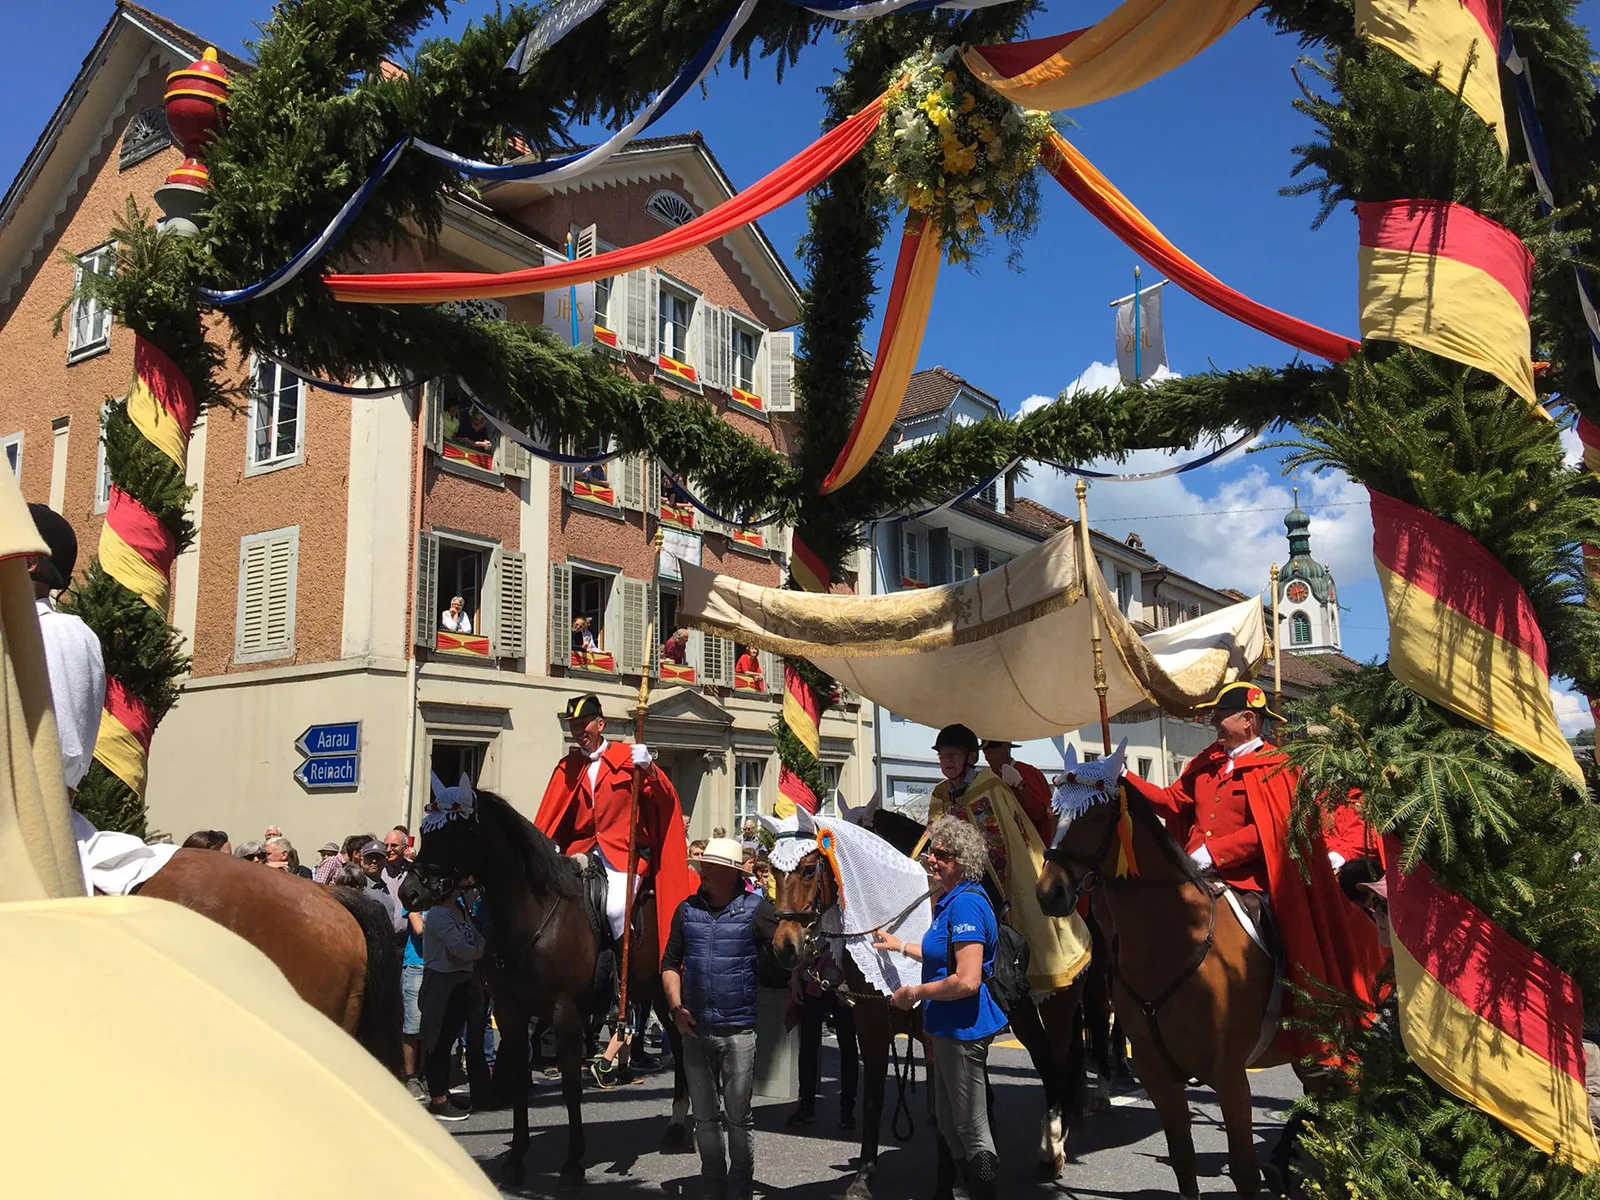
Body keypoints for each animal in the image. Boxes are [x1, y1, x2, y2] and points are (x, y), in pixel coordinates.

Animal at [400, 784, 688, 1190]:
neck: (532, 915)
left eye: (456, 833)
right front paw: (516, 1160)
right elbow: (520, 1078)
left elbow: (570, 1085)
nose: (408, 893)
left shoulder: (564, 1011)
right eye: (426, 833)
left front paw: (572, 1162)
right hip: (657, 991)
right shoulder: (510, 1011)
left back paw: (680, 1124)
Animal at [1036, 784, 1299, 1196]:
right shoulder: (1159, 1074)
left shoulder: (1229, 1077)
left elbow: (1243, 1172)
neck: (1173, 941)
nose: (1050, 892)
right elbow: (1183, 1163)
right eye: (1052, 813)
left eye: (1096, 815)